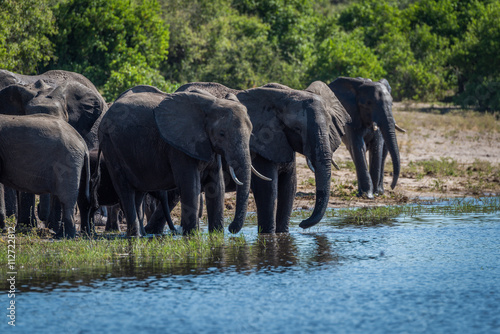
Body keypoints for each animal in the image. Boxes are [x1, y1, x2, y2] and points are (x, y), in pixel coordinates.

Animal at [96, 86, 254, 237]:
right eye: (222, 134)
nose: (231, 228)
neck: (211, 104)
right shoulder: (178, 146)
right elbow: (190, 185)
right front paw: (192, 236)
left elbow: (216, 185)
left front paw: (217, 235)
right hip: (110, 146)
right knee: (125, 190)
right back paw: (134, 236)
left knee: (139, 193)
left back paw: (140, 235)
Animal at [172, 81, 352, 232]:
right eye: (297, 129)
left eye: (329, 126)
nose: (302, 224)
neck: (287, 95)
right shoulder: (260, 144)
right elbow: (267, 189)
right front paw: (268, 235)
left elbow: (289, 186)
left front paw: (283, 234)